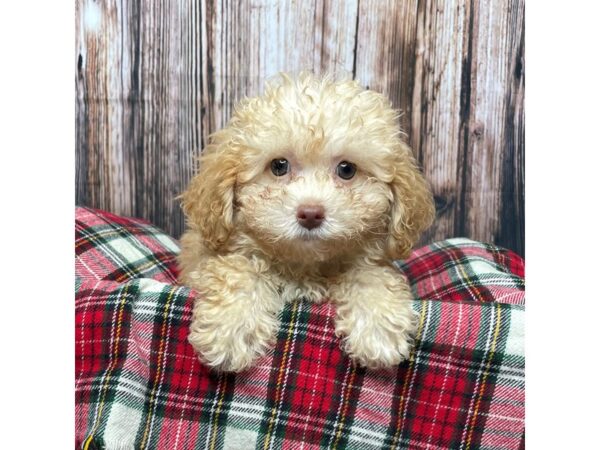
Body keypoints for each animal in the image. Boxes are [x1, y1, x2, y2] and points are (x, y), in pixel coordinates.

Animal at [178, 72, 436, 370]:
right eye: (279, 166)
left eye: (346, 169)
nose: (310, 213)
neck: (304, 265)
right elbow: (239, 271)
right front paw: (230, 329)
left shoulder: (369, 259)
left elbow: (370, 275)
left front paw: (378, 327)